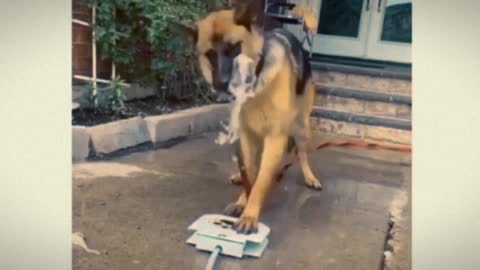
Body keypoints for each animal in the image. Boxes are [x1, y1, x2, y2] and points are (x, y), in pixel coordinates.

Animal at [175, 0, 318, 233]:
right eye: (209, 54)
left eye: (234, 48)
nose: (222, 85)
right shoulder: (247, 135)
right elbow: (249, 173)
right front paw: (243, 202)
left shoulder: (275, 138)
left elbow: (260, 181)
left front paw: (250, 214)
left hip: (301, 127)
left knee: (302, 153)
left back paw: (309, 177)